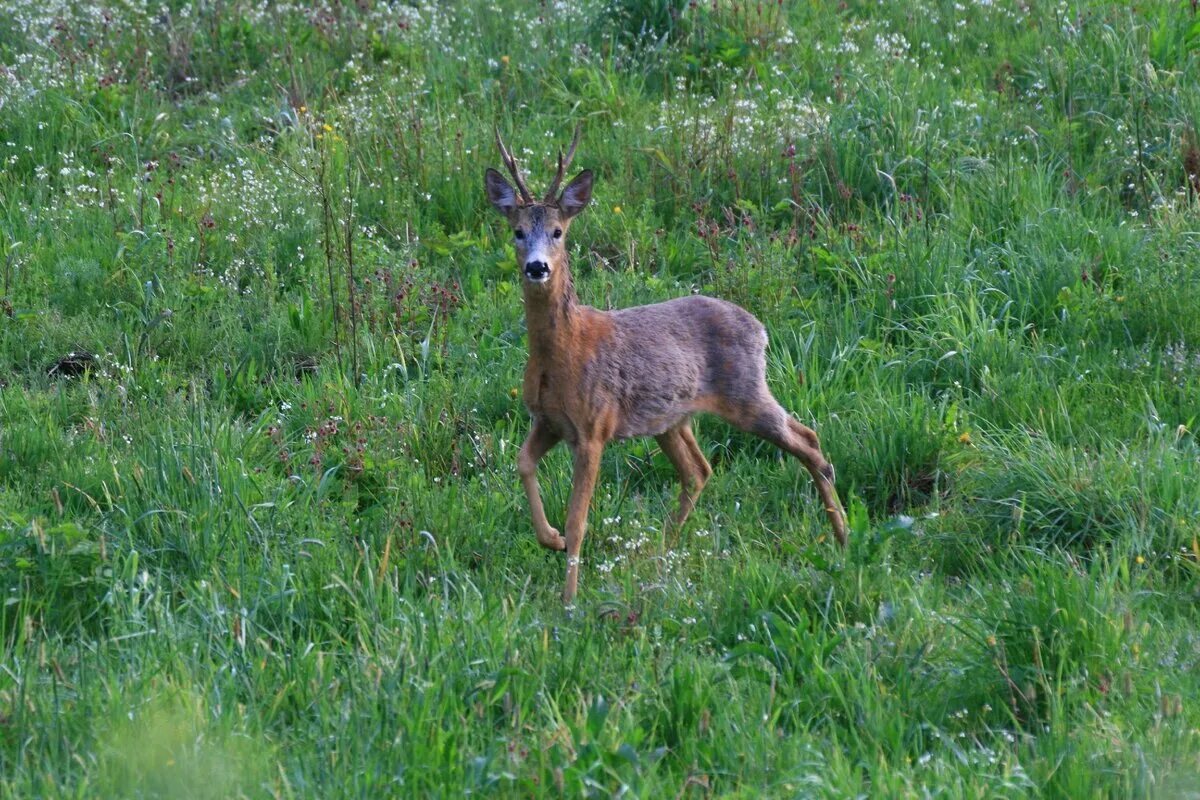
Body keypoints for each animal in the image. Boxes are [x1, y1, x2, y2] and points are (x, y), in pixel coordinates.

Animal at [482, 125, 849, 604]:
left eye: (559, 231)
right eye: (518, 231)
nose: (537, 268)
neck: (563, 352)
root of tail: (761, 329)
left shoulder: (594, 427)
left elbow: (579, 518)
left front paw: (569, 599)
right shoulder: (548, 421)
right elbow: (522, 463)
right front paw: (551, 540)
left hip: (746, 393)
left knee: (808, 441)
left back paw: (843, 538)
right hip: (672, 419)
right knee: (699, 471)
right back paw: (660, 554)